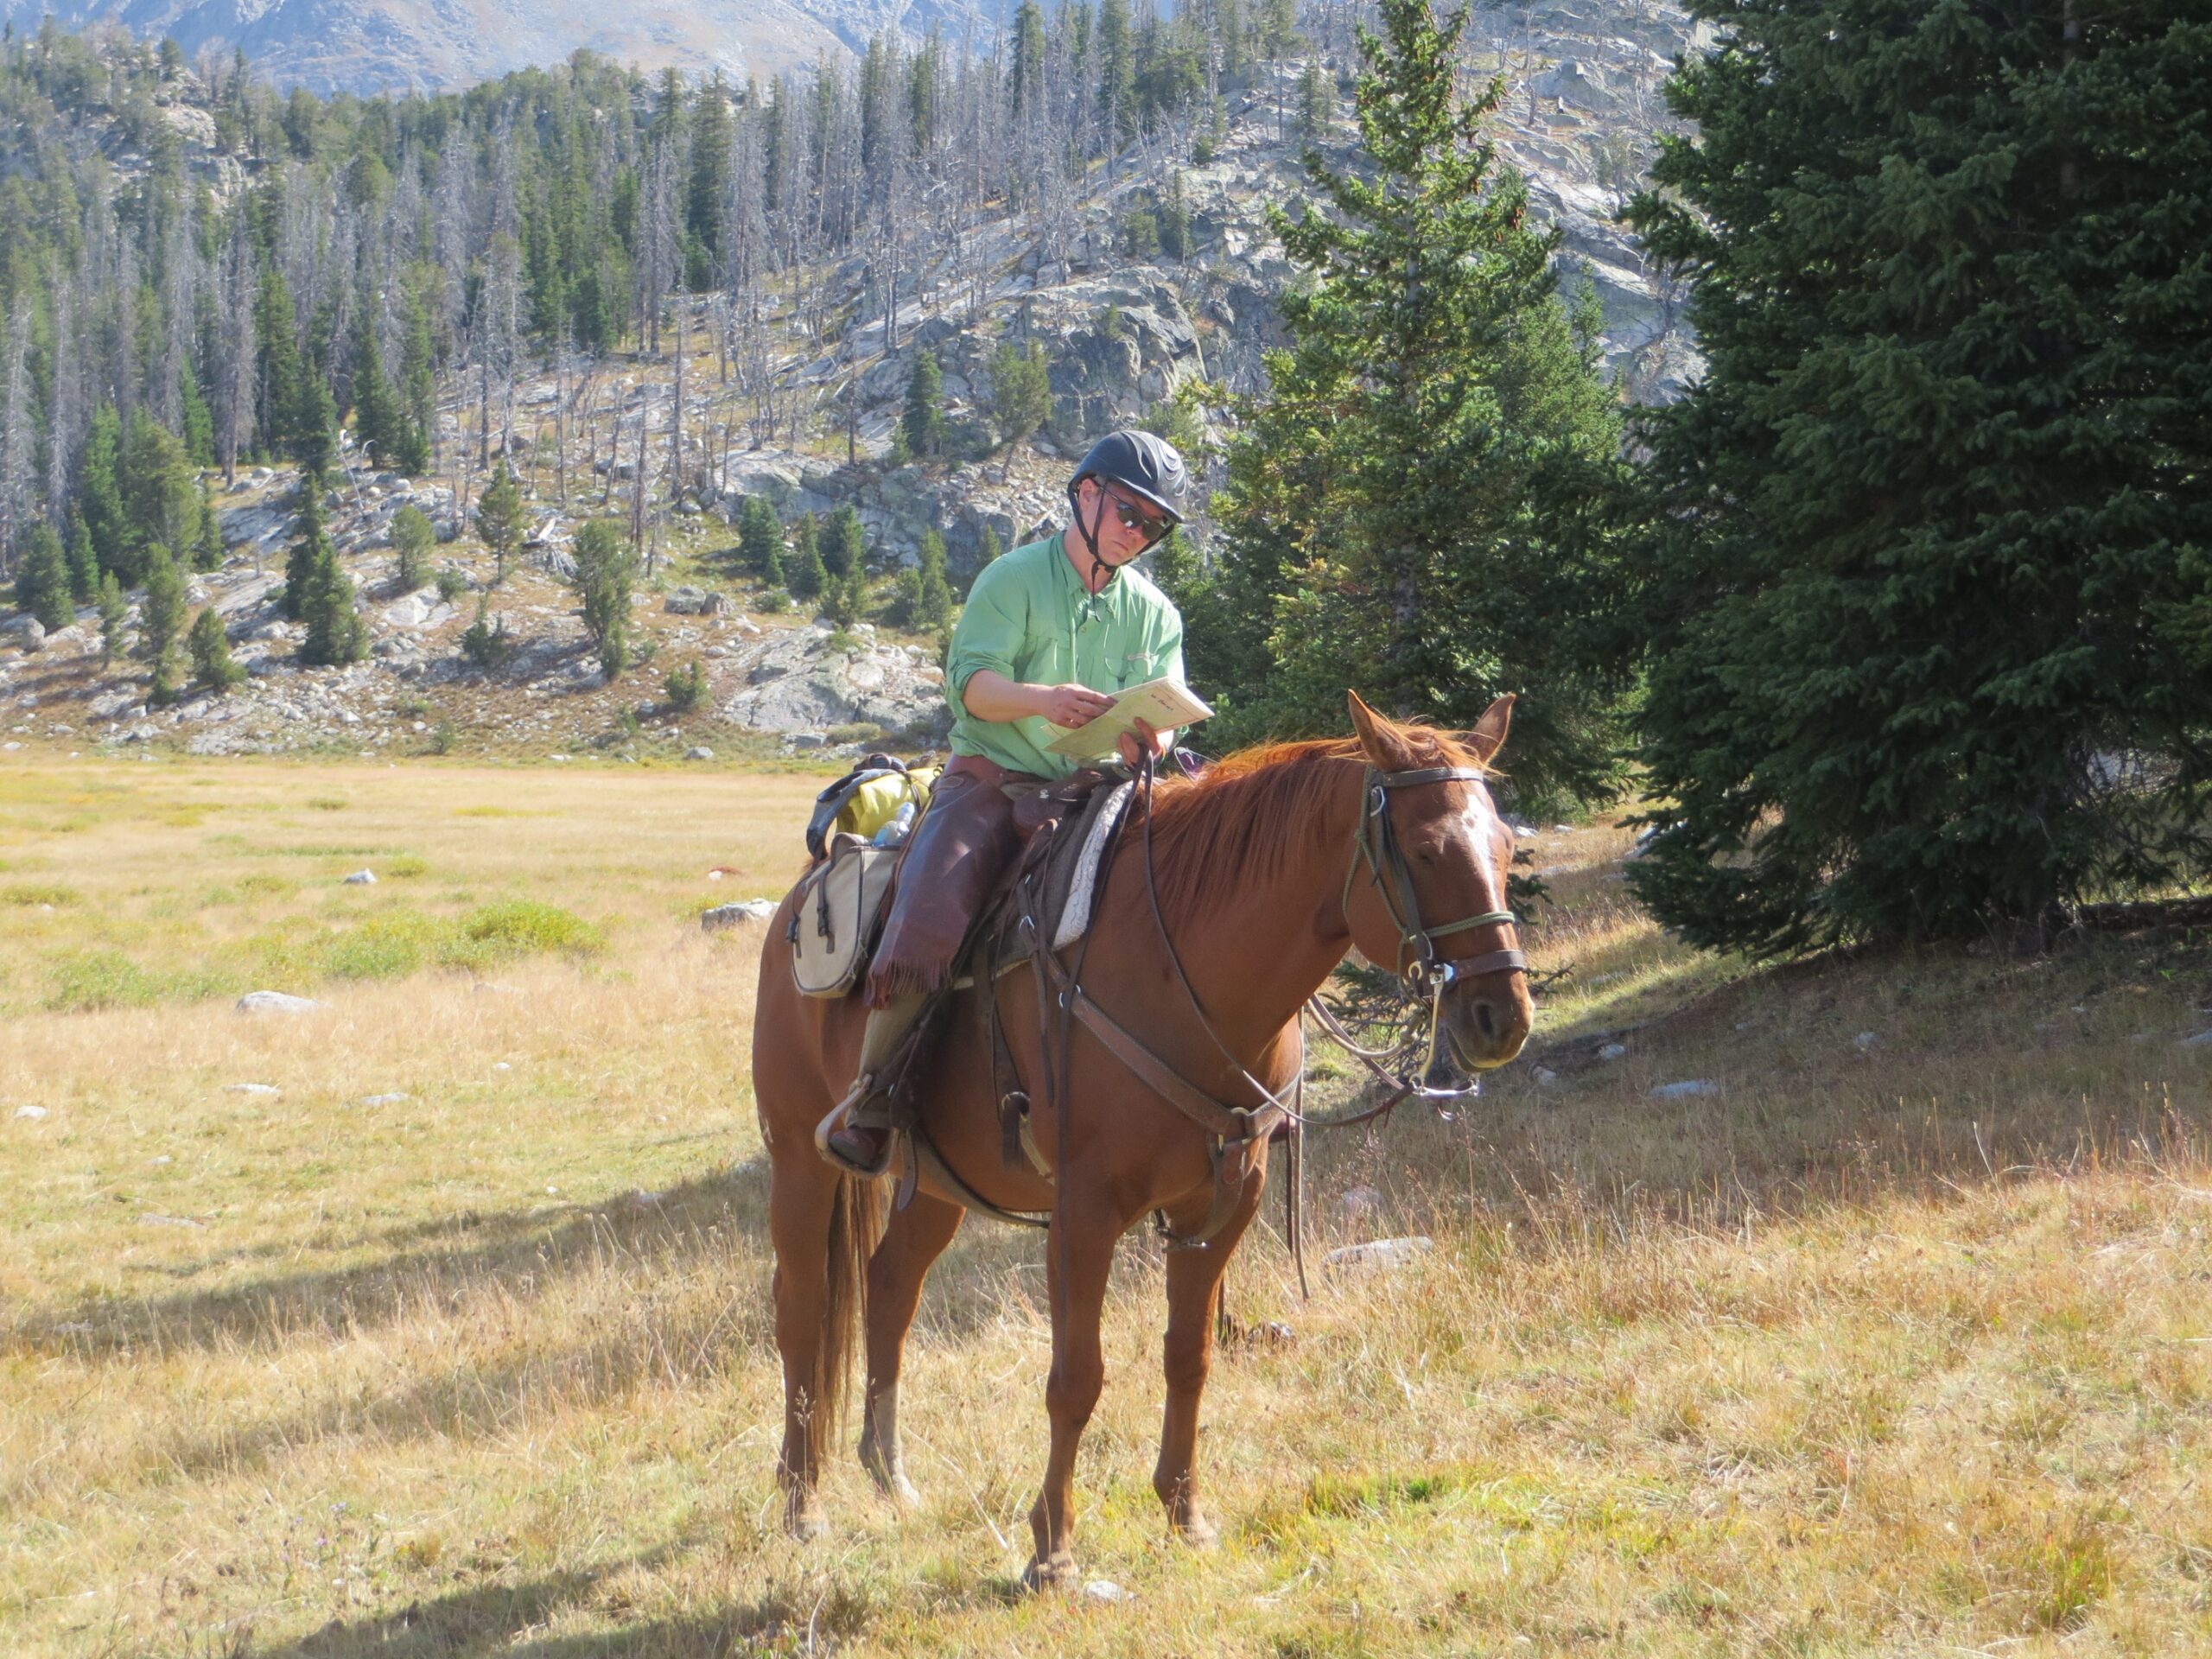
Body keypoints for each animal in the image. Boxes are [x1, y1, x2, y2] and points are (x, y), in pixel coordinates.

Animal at [748, 690, 1535, 1586]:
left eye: (1507, 844)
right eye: (1429, 851)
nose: (1501, 1018)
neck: (1183, 972)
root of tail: (802, 896)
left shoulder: (1222, 1205)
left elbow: (1189, 1355)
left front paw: (1185, 1515)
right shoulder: (1084, 1213)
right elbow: (1075, 1378)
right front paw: (1052, 1548)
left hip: (939, 1183)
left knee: (889, 1291)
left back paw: (890, 1476)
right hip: (800, 1161)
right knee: (802, 1310)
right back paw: (803, 1503)